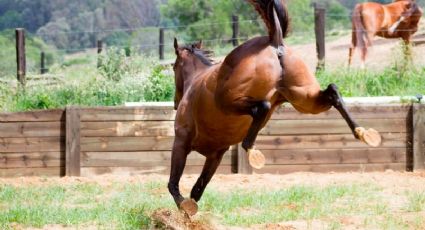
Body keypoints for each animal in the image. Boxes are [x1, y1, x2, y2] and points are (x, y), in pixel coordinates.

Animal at [168, 0, 380, 217]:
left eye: (173, 66)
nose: (176, 103)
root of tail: (273, 41)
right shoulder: (216, 154)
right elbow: (197, 190)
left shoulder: (182, 141)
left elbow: (174, 185)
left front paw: (184, 207)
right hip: (304, 99)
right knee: (333, 91)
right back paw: (363, 133)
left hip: (228, 101)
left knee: (262, 106)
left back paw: (251, 149)